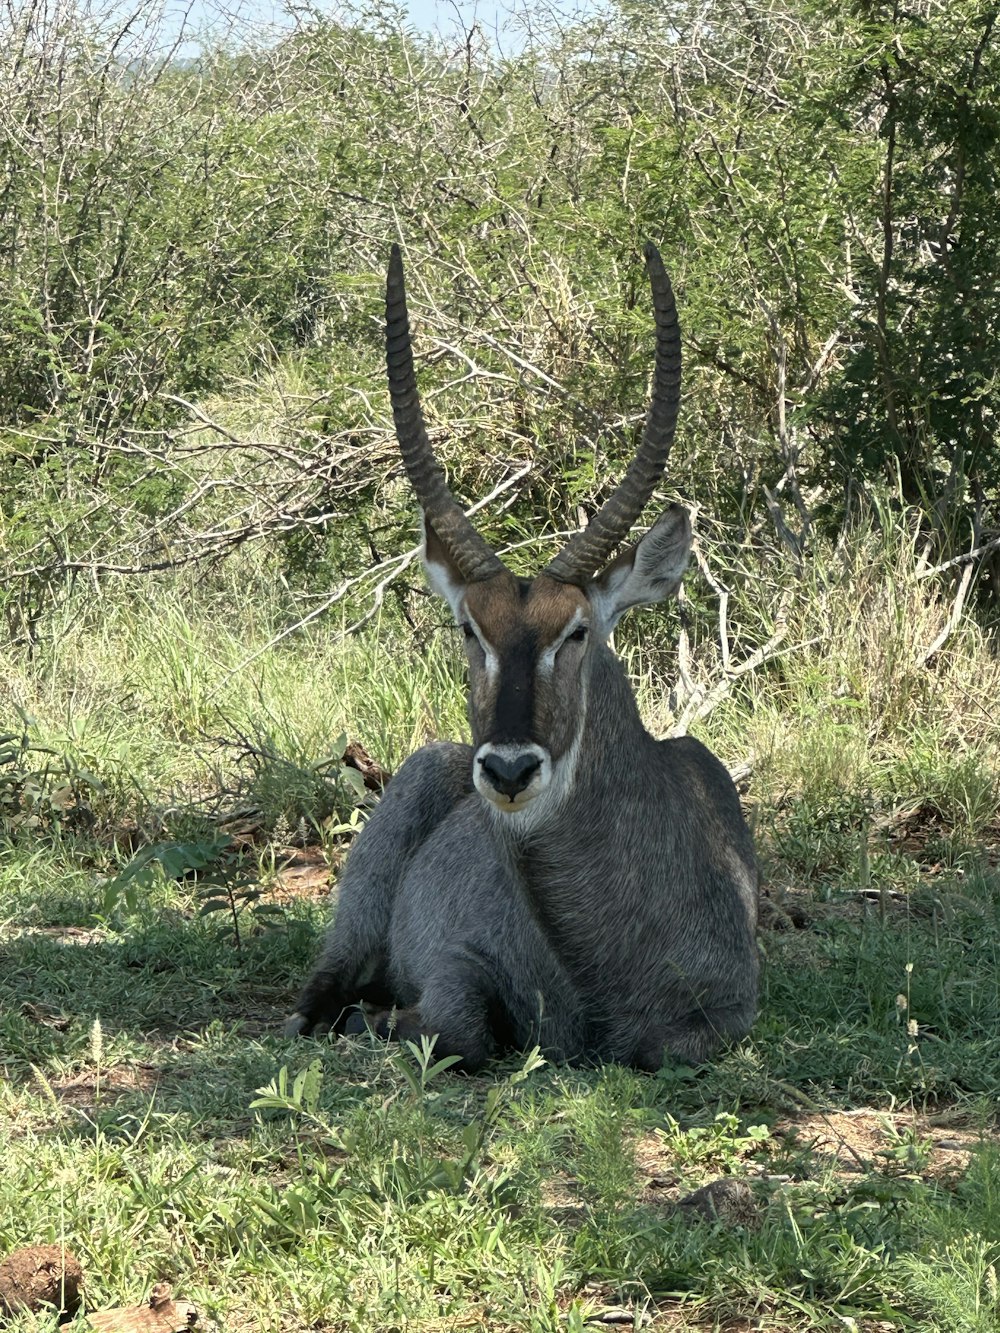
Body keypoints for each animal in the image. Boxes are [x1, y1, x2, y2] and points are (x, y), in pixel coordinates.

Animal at [284, 242, 757, 1071]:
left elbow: (667, 1045)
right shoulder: (455, 957)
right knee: (320, 995)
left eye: (577, 632)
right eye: (470, 628)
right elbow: (459, 1024)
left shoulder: (731, 1013)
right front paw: (381, 1022)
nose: (507, 771)